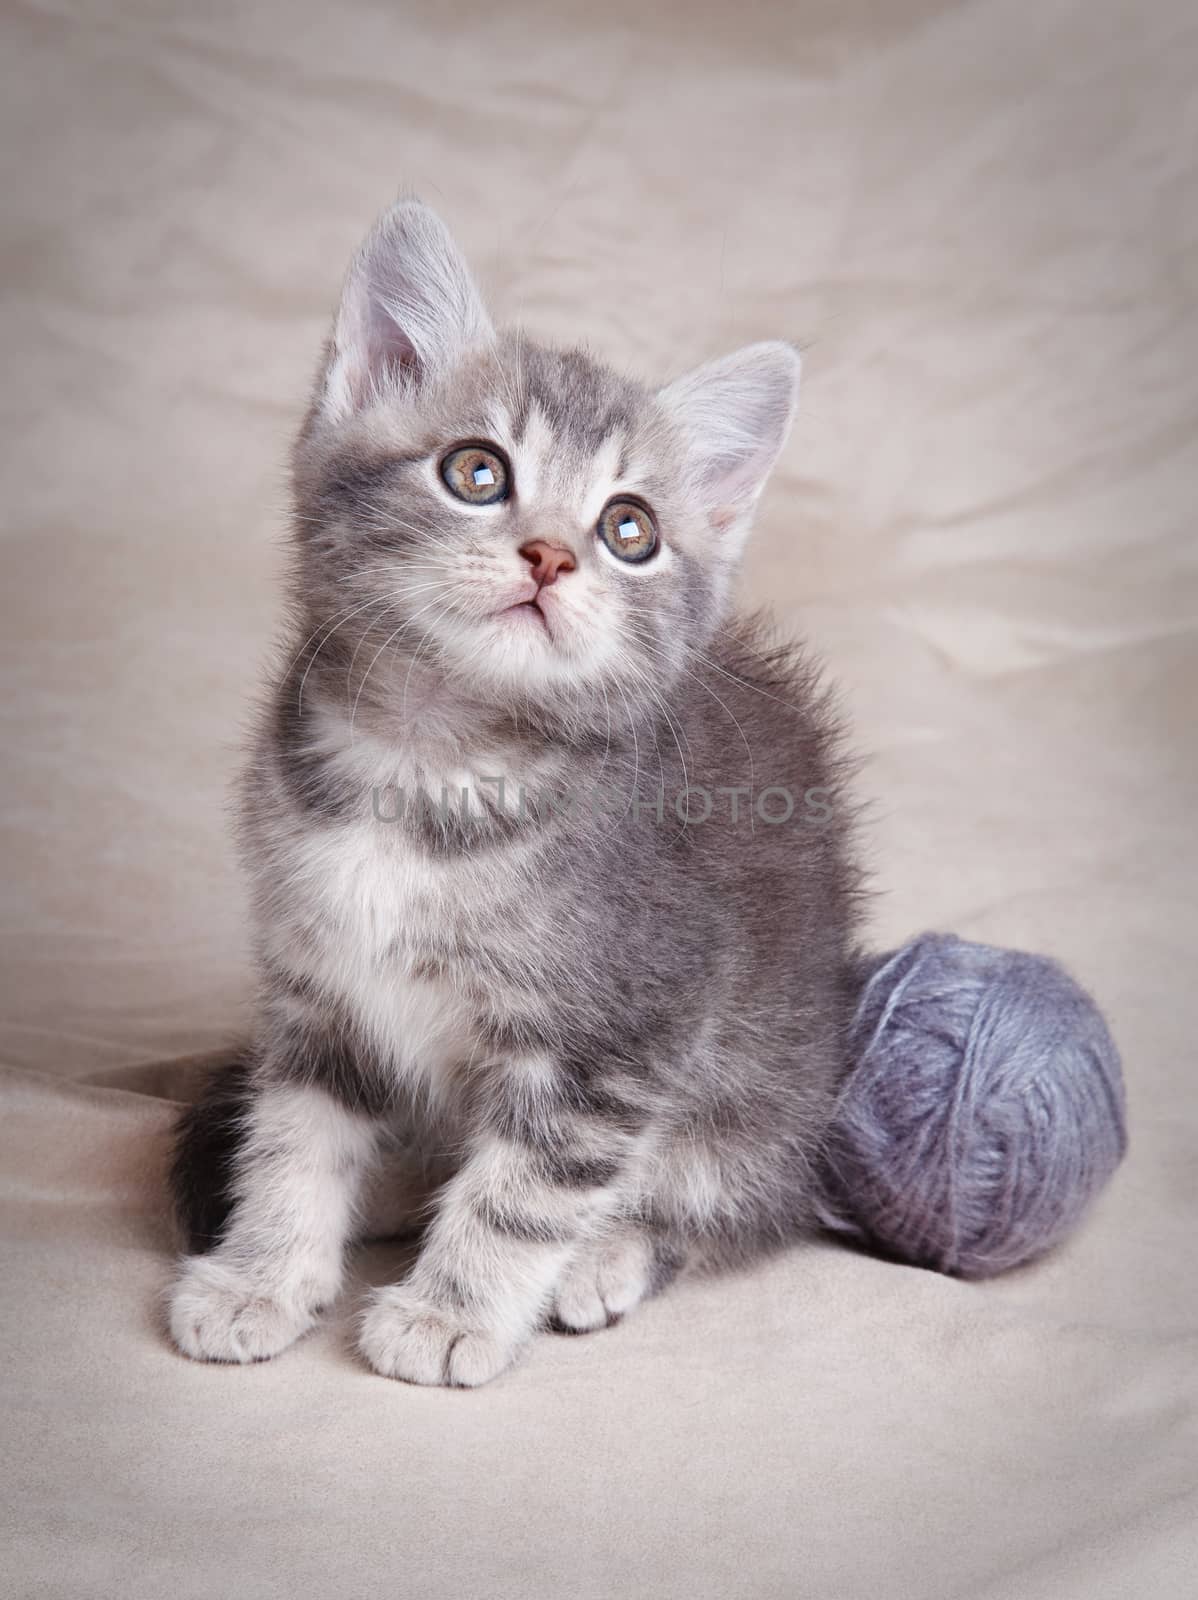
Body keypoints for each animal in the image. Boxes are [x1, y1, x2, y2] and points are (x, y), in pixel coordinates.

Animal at [167, 200, 857, 1382]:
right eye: (477, 472)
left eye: (630, 528)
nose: (549, 555)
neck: (426, 768)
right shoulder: (318, 996)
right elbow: (294, 1138)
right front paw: (263, 1272)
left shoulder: (623, 1026)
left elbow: (527, 1186)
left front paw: (453, 1310)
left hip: (761, 1089)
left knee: (723, 1204)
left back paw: (602, 1257)